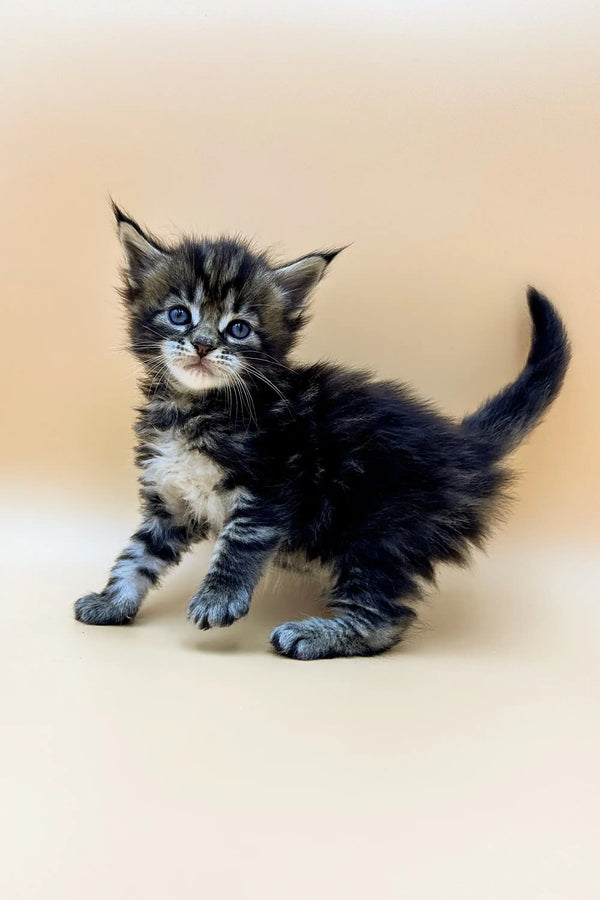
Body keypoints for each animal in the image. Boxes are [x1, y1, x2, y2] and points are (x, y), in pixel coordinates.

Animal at [72, 209, 568, 660]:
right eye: (179, 315)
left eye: (239, 328)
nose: (203, 345)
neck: (195, 408)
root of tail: (464, 446)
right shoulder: (171, 501)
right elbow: (138, 554)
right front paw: (112, 601)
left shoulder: (273, 483)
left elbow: (240, 542)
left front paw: (218, 596)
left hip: (379, 531)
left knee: (386, 618)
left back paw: (313, 636)